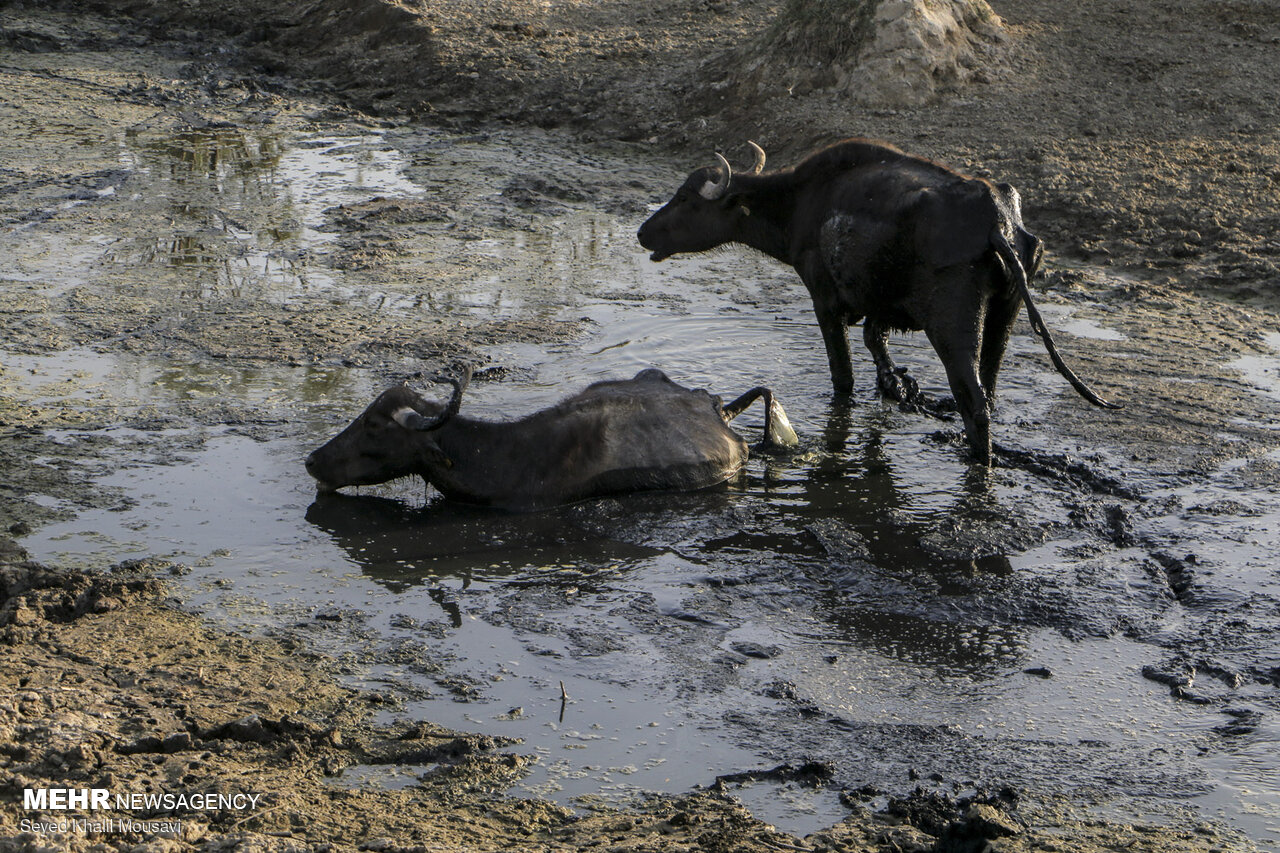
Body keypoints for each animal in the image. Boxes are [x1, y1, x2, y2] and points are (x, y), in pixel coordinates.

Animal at [634, 137, 1116, 466]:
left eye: (684, 198)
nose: (642, 233)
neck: (801, 201)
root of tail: (996, 219)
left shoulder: (825, 304)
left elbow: (843, 378)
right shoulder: (879, 311)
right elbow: (878, 351)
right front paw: (897, 388)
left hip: (952, 325)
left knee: (975, 401)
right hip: (1005, 313)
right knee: (990, 390)